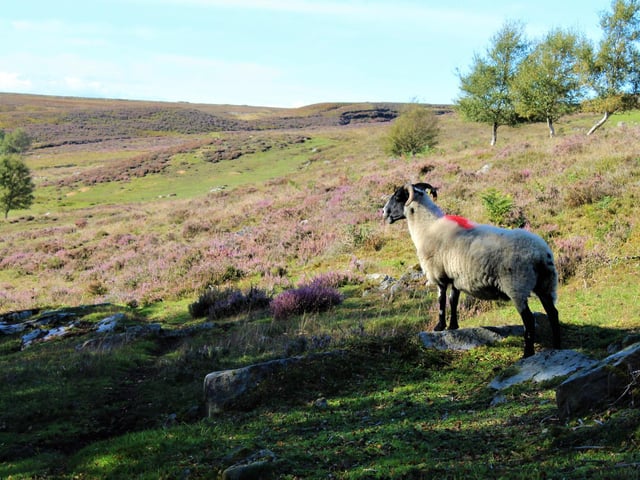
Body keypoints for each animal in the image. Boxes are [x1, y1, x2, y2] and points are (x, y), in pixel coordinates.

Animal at [382, 182, 560, 357]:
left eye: (397, 197)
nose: (383, 212)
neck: (427, 226)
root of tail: (540, 253)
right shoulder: (455, 277)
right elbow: (453, 301)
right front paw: (453, 326)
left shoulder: (439, 274)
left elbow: (441, 301)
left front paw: (439, 326)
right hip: (546, 285)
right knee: (553, 313)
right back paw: (556, 346)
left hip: (517, 286)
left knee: (529, 320)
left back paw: (528, 353)